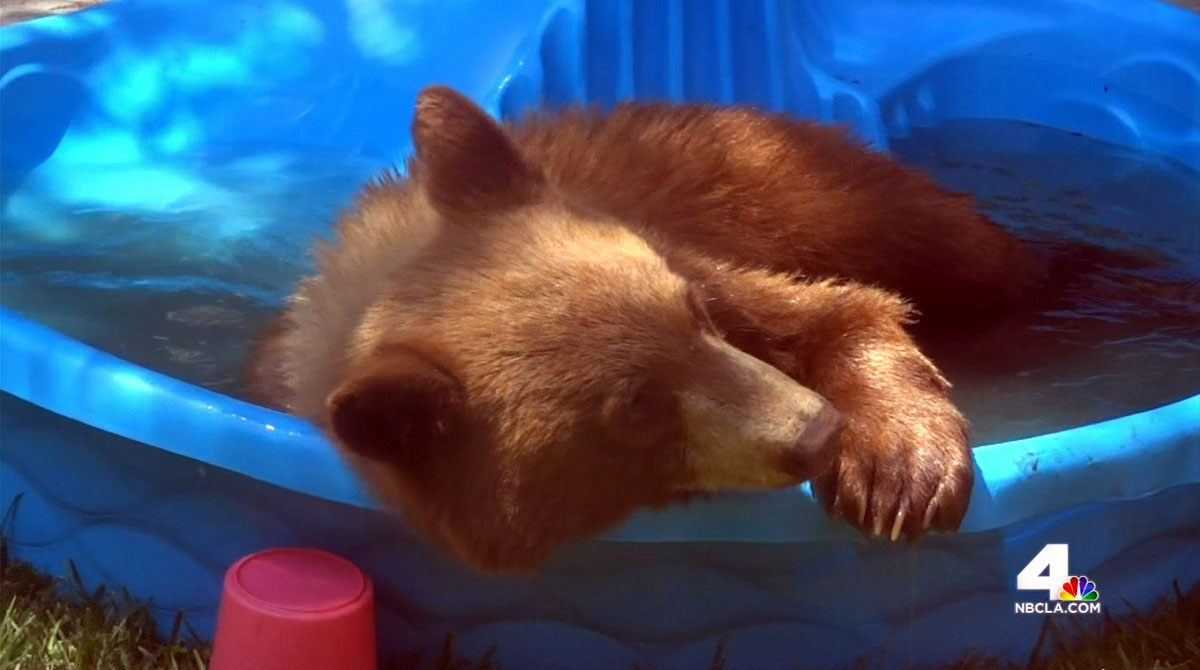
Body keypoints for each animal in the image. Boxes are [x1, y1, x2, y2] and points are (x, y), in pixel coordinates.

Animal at [246, 85, 1041, 573]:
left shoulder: (683, 251)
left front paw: (899, 466)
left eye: (694, 311)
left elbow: (839, 310)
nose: (819, 432)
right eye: (635, 407)